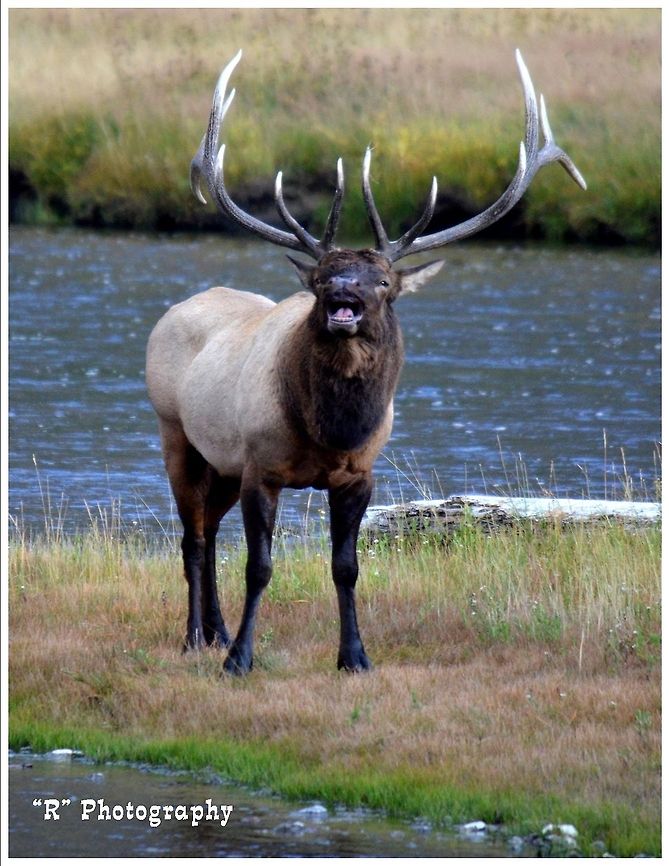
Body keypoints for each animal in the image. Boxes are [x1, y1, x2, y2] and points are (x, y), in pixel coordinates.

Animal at [146, 49, 586, 675]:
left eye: (381, 281)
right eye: (324, 276)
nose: (342, 294)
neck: (329, 430)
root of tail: (177, 309)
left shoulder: (359, 474)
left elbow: (346, 568)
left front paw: (354, 656)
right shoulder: (261, 466)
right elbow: (259, 567)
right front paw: (240, 660)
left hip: (220, 462)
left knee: (206, 531)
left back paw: (215, 631)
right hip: (177, 435)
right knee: (196, 539)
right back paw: (194, 639)